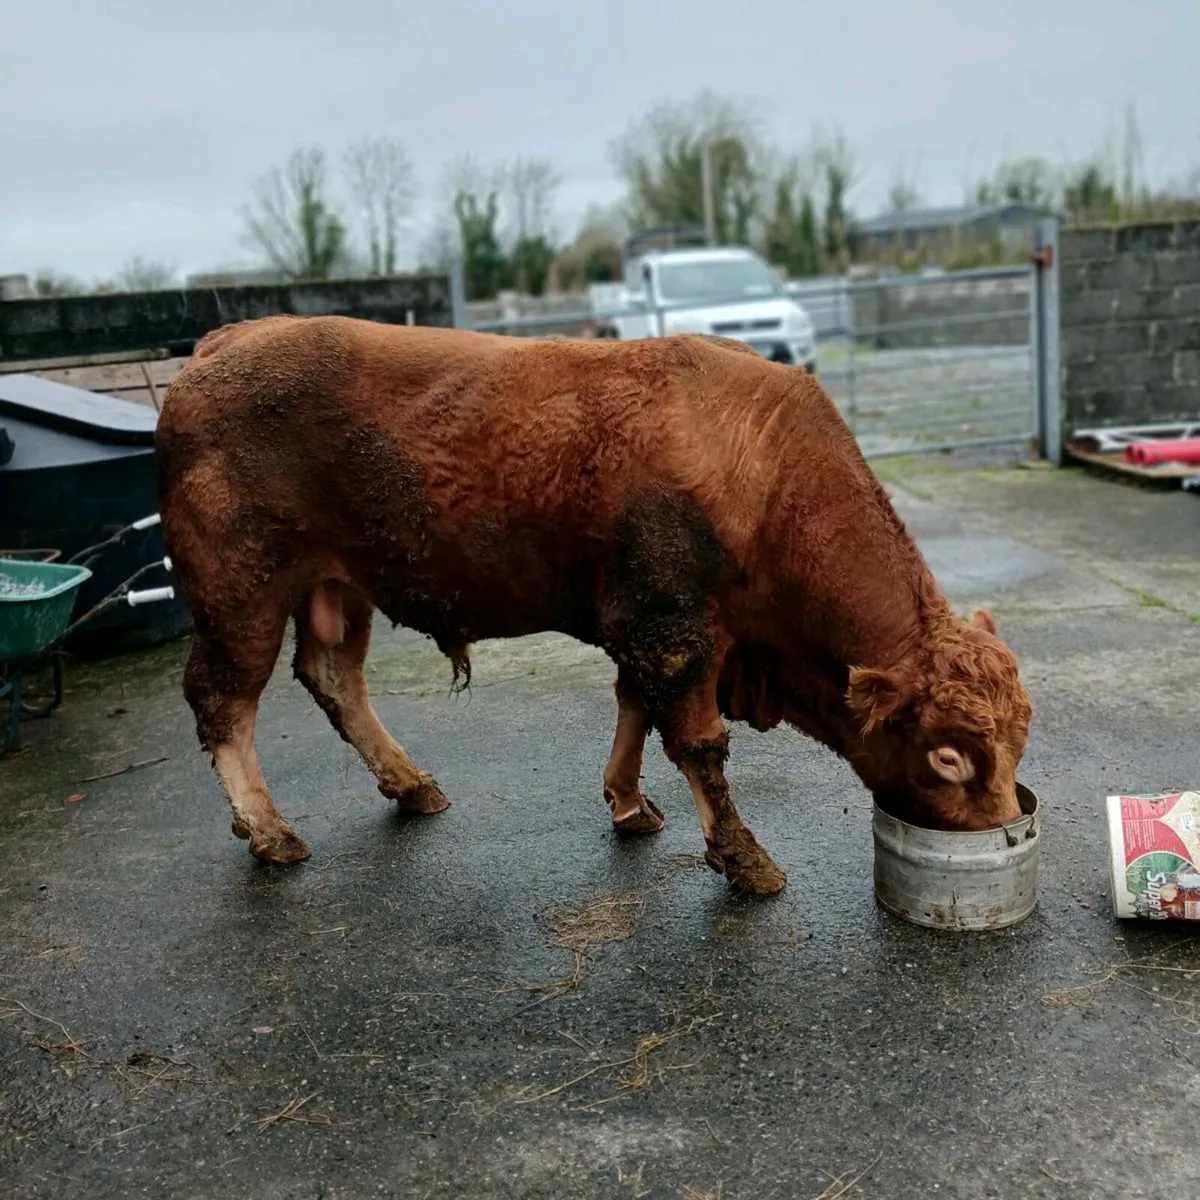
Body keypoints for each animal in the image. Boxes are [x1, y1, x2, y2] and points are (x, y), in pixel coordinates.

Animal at [155, 314, 1033, 895]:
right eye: (949, 756)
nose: (1000, 828)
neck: (763, 473)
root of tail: (222, 344)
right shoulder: (672, 630)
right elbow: (699, 744)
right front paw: (744, 860)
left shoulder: (650, 633)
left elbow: (633, 710)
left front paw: (628, 802)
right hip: (241, 595)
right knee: (223, 702)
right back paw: (270, 832)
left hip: (337, 589)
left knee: (335, 678)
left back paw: (409, 784)